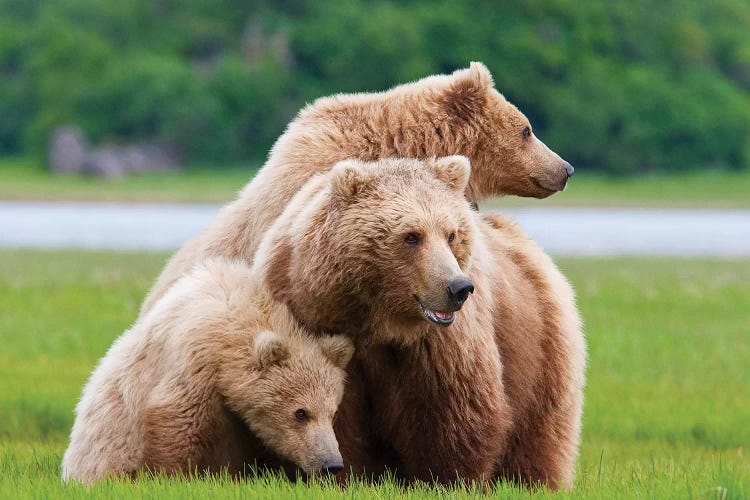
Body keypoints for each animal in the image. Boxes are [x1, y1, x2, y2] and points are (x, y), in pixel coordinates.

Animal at [61, 260, 356, 482]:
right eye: (300, 413)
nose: (331, 464)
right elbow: (176, 421)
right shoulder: (193, 361)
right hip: (104, 448)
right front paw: (172, 477)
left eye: (332, 413)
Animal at [254, 156, 588, 488]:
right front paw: (341, 475)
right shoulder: (317, 322)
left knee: (538, 441)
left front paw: (449, 478)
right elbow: (337, 415)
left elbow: (455, 413)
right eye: (411, 236)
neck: (377, 320)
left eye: (451, 234)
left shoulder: (438, 344)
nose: (458, 288)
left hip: (539, 354)